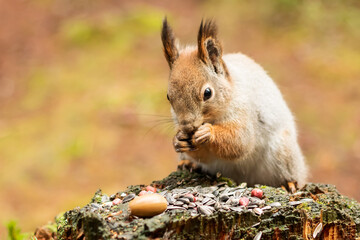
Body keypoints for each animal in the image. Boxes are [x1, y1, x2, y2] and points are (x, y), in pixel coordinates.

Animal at [162, 17, 308, 188]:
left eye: (207, 93)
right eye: (168, 96)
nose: (187, 126)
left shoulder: (244, 110)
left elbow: (240, 141)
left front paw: (208, 132)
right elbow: (206, 156)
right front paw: (178, 140)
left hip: (283, 152)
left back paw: (289, 183)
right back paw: (189, 164)